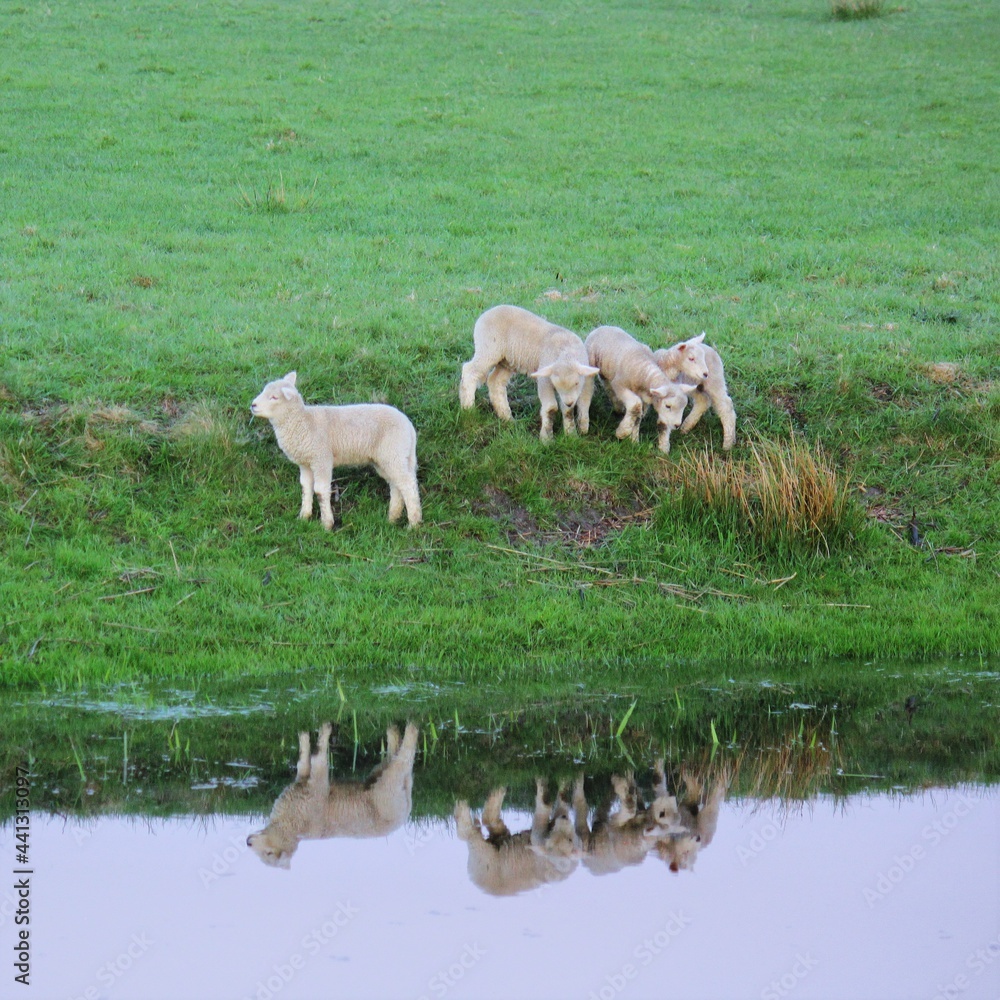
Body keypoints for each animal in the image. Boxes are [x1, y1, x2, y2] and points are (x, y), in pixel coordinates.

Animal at [251, 371, 421, 530]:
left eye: (274, 397)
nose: (253, 405)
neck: (303, 422)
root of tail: (408, 425)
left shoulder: (322, 459)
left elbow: (320, 490)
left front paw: (326, 524)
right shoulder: (305, 463)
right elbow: (305, 487)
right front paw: (304, 516)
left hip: (393, 453)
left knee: (407, 484)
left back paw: (413, 524)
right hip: (389, 458)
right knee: (397, 485)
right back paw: (392, 518)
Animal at [459, 304, 599, 440]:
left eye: (576, 383)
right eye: (555, 385)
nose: (569, 402)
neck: (566, 352)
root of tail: (487, 312)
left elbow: (570, 410)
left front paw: (573, 434)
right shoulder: (545, 379)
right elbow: (551, 408)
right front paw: (546, 438)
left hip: (507, 361)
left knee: (495, 381)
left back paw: (507, 417)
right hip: (489, 349)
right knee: (470, 371)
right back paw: (468, 408)